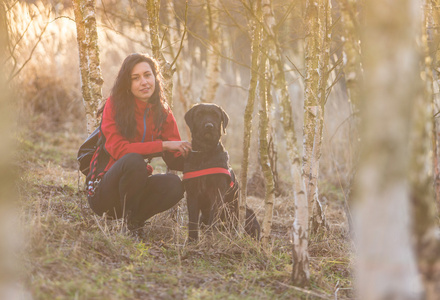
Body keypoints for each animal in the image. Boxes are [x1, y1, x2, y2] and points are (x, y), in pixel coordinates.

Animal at [183, 103, 262, 241]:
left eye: (215, 115)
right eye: (199, 114)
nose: (209, 126)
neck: (205, 153)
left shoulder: (217, 192)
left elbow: (213, 216)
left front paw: (209, 238)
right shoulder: (192, 192)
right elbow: (192, 219)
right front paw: (192, 240)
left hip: (247, 213)